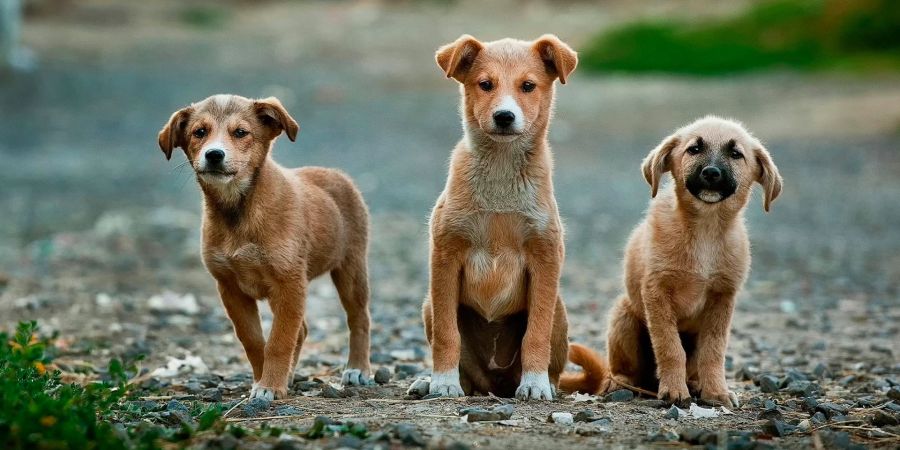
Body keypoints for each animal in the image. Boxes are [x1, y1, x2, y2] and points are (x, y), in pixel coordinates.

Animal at [158, 95, 372, 400]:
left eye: (240, 132)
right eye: (199, 132)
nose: (214, 155)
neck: (239, 211)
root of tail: (335, 174)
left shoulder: (289, 283)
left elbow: (279, 340)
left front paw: (270, 386)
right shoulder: (230, 288)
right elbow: (254, 340)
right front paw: (264, 380)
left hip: (351, 268)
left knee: (359, 318)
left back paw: (357, 368)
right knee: (302, 330)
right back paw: (291, 375)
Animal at [420, 35, 576, 400]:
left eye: (528, 86)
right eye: (485, 84)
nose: (504, 116)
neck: (501, 175)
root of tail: (495, 384)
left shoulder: (545, 257)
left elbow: (536, 333)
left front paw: (535, 384)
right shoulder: (445, 255)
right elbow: (447, 334)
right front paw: (443, 381)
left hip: (560, 310)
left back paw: (545, 382)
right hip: (428, 305)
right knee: (466, 369)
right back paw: (429, 382)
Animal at [564, 113, 780, 408]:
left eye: (736, 154)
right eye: (694, 149)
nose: (711, 173)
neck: (705, 230)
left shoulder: (722, 297)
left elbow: (714, 351)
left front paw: (716, 392)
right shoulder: (657, 292)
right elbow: (669, 347)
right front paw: (675, 391)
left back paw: (696, 384)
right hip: (624, 316)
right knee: (623, 369)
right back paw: (620, 383)